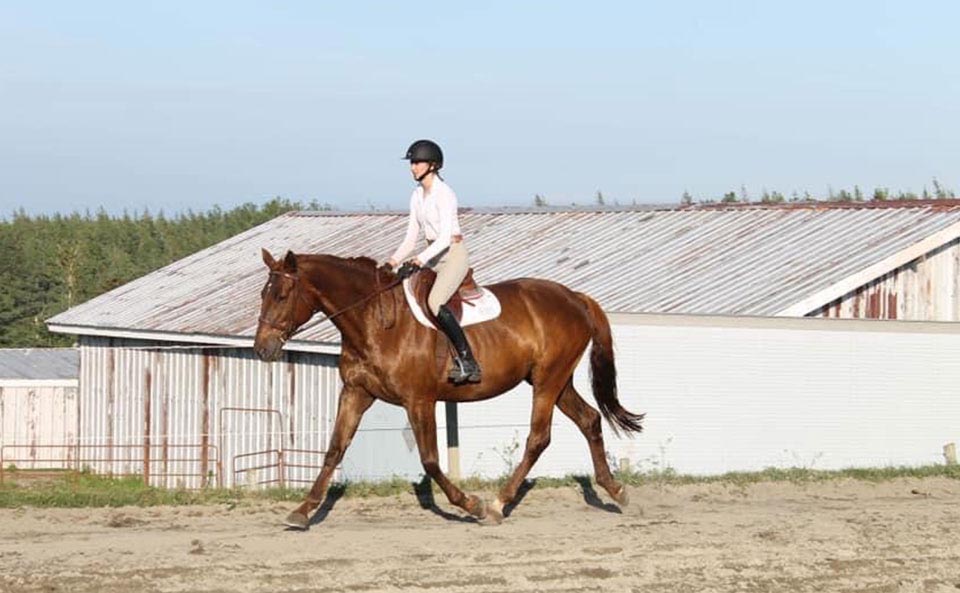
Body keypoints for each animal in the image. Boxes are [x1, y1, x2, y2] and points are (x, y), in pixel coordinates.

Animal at [255, 247, 644, 524]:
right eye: (263, 294)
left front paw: (471, 504)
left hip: (548, 381)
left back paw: (497, 505)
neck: (373, 321)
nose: (262, 349)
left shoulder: (419, 400)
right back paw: (617, 491)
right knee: (589, 420)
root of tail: (574, 297)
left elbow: (429, 460)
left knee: (538, 438)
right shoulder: (356, 393)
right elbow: (334, 449)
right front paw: (302, 512)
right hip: (554, 381)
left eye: (282, 295)